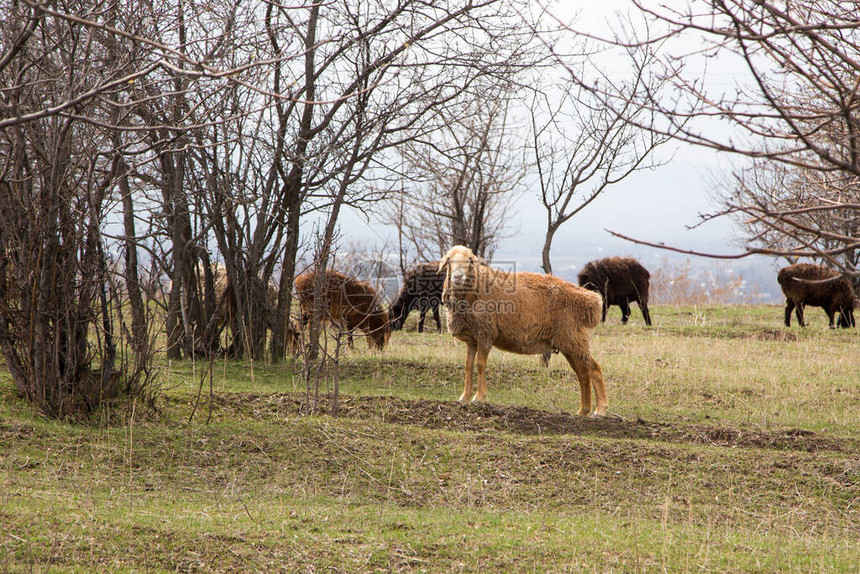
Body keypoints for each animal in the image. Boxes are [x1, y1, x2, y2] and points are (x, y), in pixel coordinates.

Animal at [440, 245, 608, 416]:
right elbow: (468, 366)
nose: (458, 276)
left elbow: (480, 365)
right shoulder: (472, 340)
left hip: (574, 339)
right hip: (570, 343)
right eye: (449, 260)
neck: (477, 288)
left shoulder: (485, 334)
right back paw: (583, 411)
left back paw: (600, 410)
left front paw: (479, 397)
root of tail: (591, 300)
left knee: (594, 369)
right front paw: (464, 397)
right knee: (583, 374)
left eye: (469, 260)